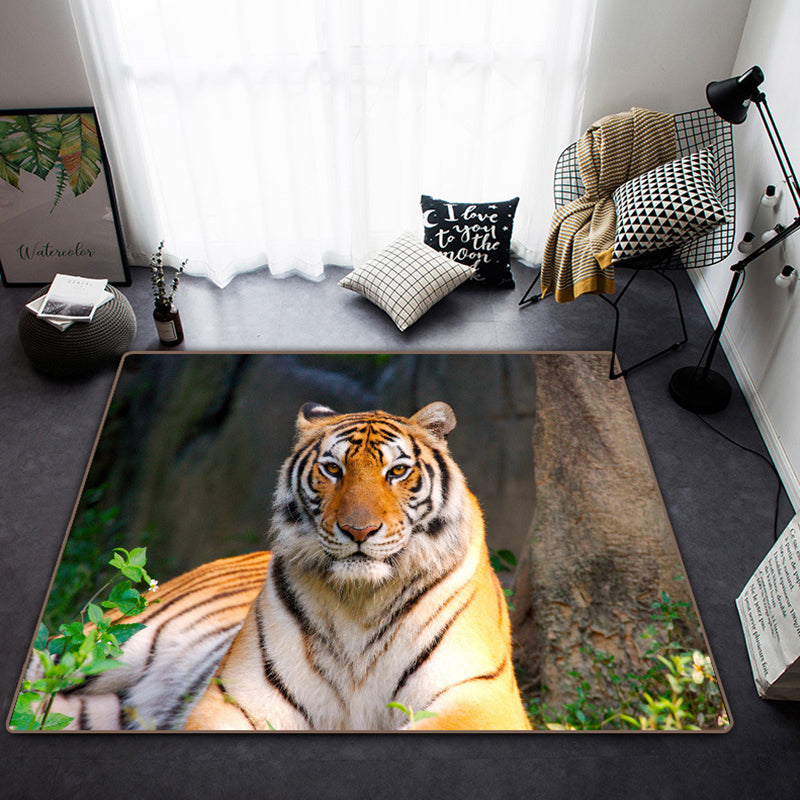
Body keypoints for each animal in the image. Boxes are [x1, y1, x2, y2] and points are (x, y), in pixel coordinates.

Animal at [24, 402, 531, 731]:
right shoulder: (238, 700)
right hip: (92, 647)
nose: (359, 531)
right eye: (332, 470)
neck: (362, 602)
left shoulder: (477, 698)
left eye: (397, 472)